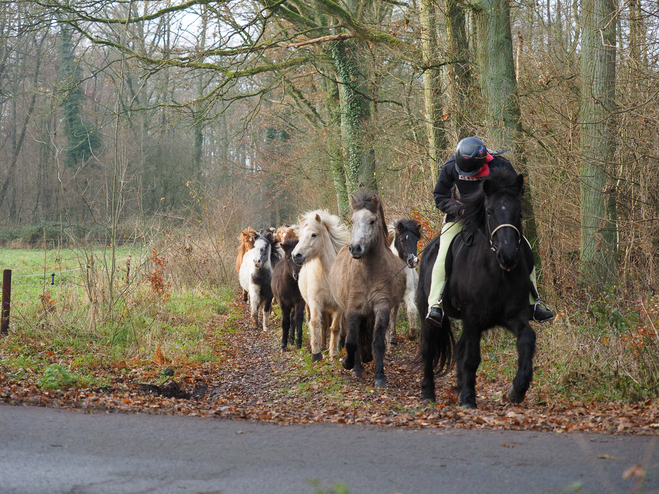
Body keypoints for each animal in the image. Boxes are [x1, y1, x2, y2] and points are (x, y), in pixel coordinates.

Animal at [290, 210, 350, 360]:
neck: (327, 276)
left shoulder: (338, 307)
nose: (295, 255)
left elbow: (335, 328)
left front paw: (333, 353)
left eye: (313, 235)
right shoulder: (315, 302)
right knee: (320, 324)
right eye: (299, 236)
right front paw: (316, 353)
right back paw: (321, 347)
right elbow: (315, 323)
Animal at [330, 191, 408, 388]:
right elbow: (351, 341)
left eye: (372, 221)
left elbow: (378, 341)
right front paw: (347, 363)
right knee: (355, 338)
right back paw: (357, 369)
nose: (355, 248)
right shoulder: (352, 309)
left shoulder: (382, 307)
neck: (368, 275)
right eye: (353, 220)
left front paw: (380, 377)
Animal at [386, 218, 422, 346]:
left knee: (394, 314)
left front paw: (412, 334)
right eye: (402, 240)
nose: (413, 261)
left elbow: (411, 309)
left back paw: (393, 338)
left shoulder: (409, 293)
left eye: (416, 240)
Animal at [418, 168, 536, 408]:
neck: (498, 274)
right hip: (427, 312)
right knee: (428, 349)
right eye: (489, 212)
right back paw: (428, 393)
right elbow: (472, 357)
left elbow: (527, 339)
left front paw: (517, 389)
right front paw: (468, 398)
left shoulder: (514, 315)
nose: (508, 256)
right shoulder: (472, 318)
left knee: (459, 348)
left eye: (519, 213)